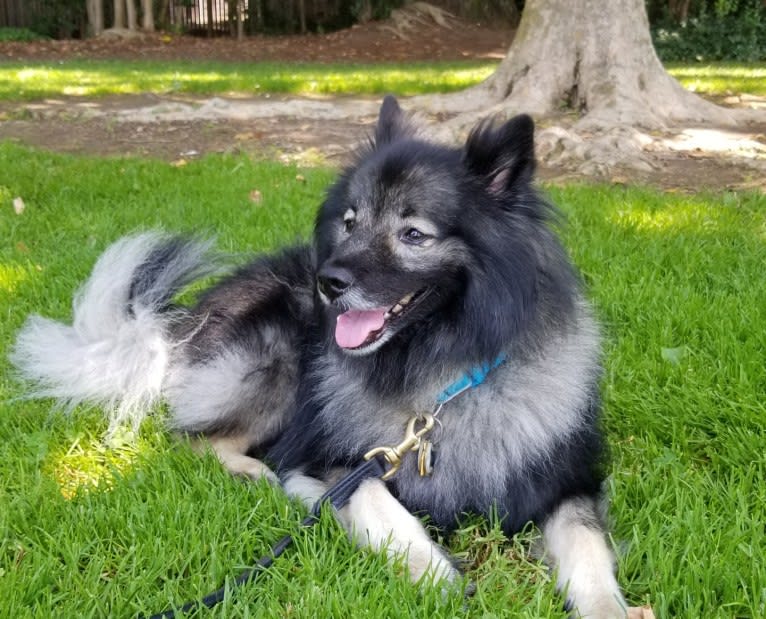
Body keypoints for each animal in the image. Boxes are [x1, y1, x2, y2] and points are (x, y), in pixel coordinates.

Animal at [12, 97, 632, 619]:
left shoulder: (567, 482)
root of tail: (179, 325)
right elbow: (383, 508)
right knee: (192, 437)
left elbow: (588, 547)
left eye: (413, 233)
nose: (327, 282)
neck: (441, 374)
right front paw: (438, 578)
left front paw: (607, 608)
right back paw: (255, 472)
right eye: (351, 221)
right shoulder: (337, 461)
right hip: (273, 360)